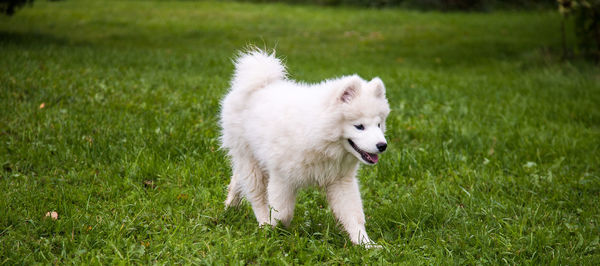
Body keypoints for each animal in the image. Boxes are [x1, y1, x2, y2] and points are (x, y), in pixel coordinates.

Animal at [220, 48, 390, 246]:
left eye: (378, 124)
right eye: (359, 126)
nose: (382, 145)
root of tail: (260, 83)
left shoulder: (341, 180)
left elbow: (353, 214)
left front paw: (365, 244)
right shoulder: (282, 177)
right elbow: (282, 212)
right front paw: (274, 230)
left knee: (239, 177)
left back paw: (230, 205)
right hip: (249, 157)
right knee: (257, 195)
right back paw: (262, 223)